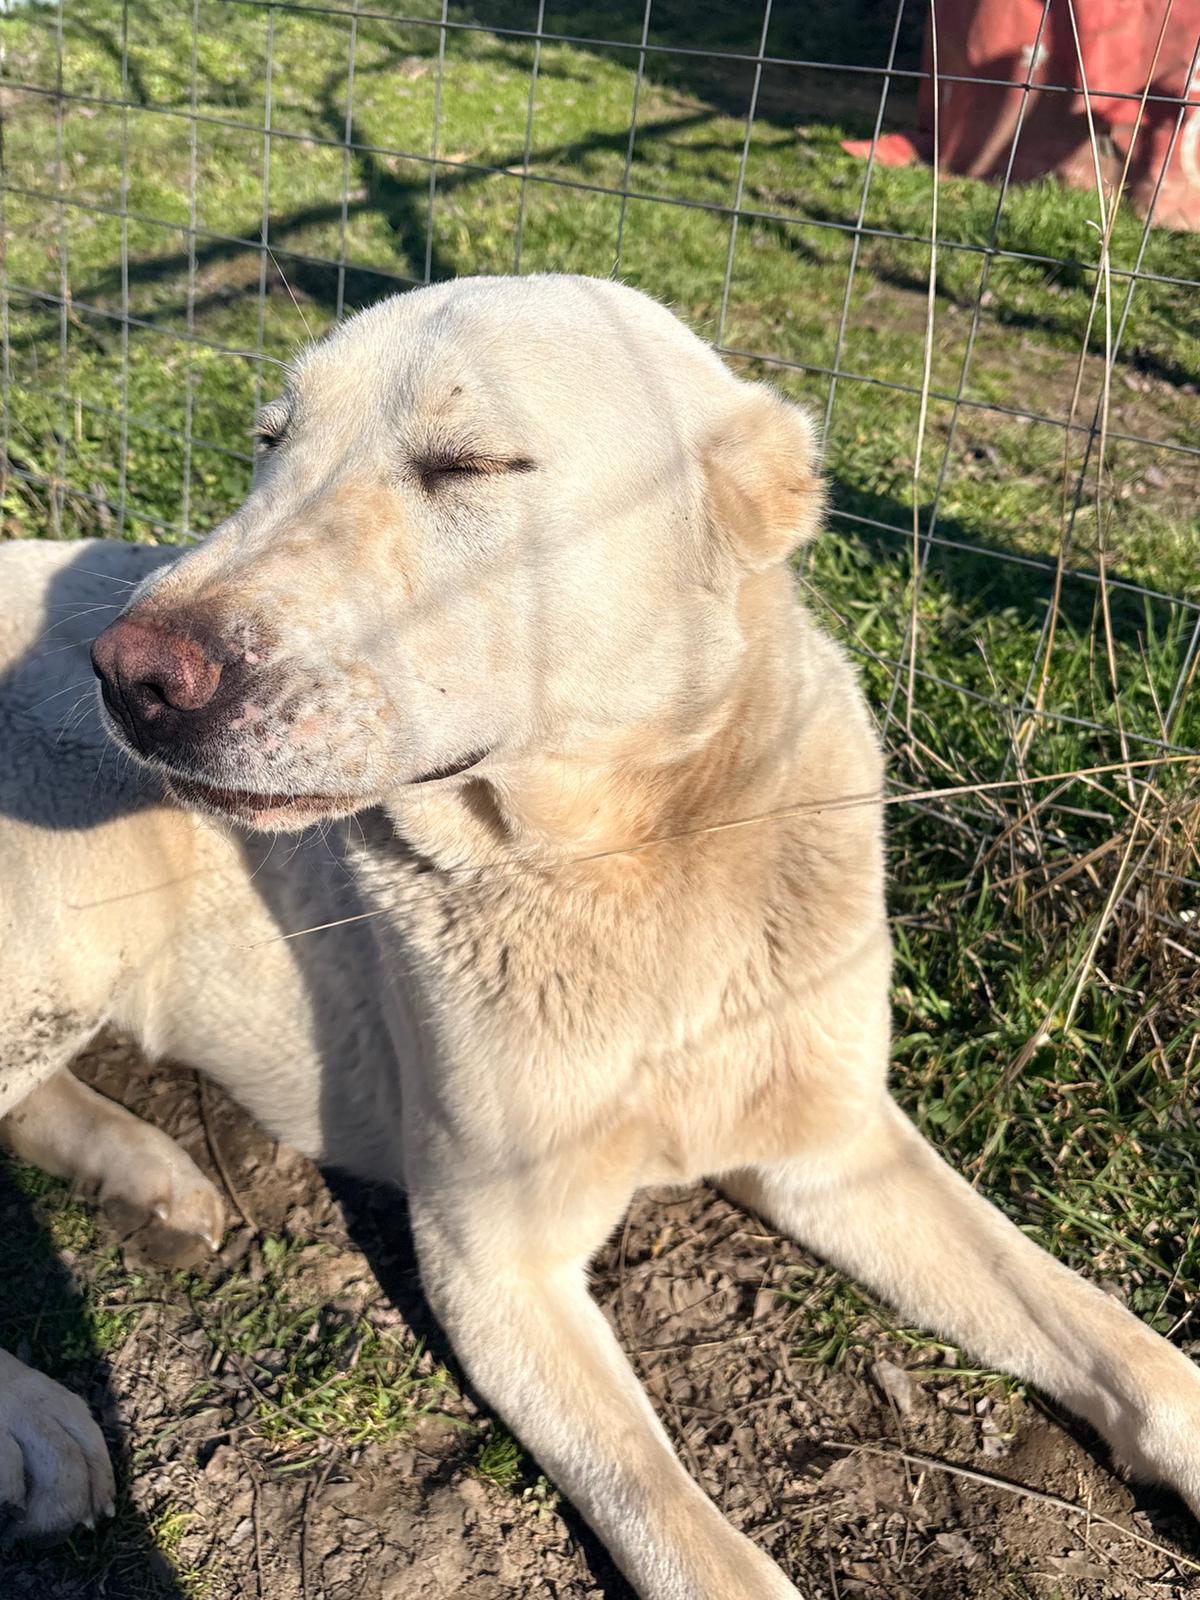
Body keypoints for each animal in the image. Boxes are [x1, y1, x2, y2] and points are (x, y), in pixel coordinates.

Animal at [2, 274, 1199, 1598]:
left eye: (469, 463)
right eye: (271, 446)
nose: (129, 675)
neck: (636, 870)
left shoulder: (834, 1147)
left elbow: (1116, 1336)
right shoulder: (491, 1265)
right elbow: (675, 1518)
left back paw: (147, 1172)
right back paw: (43, 1419)